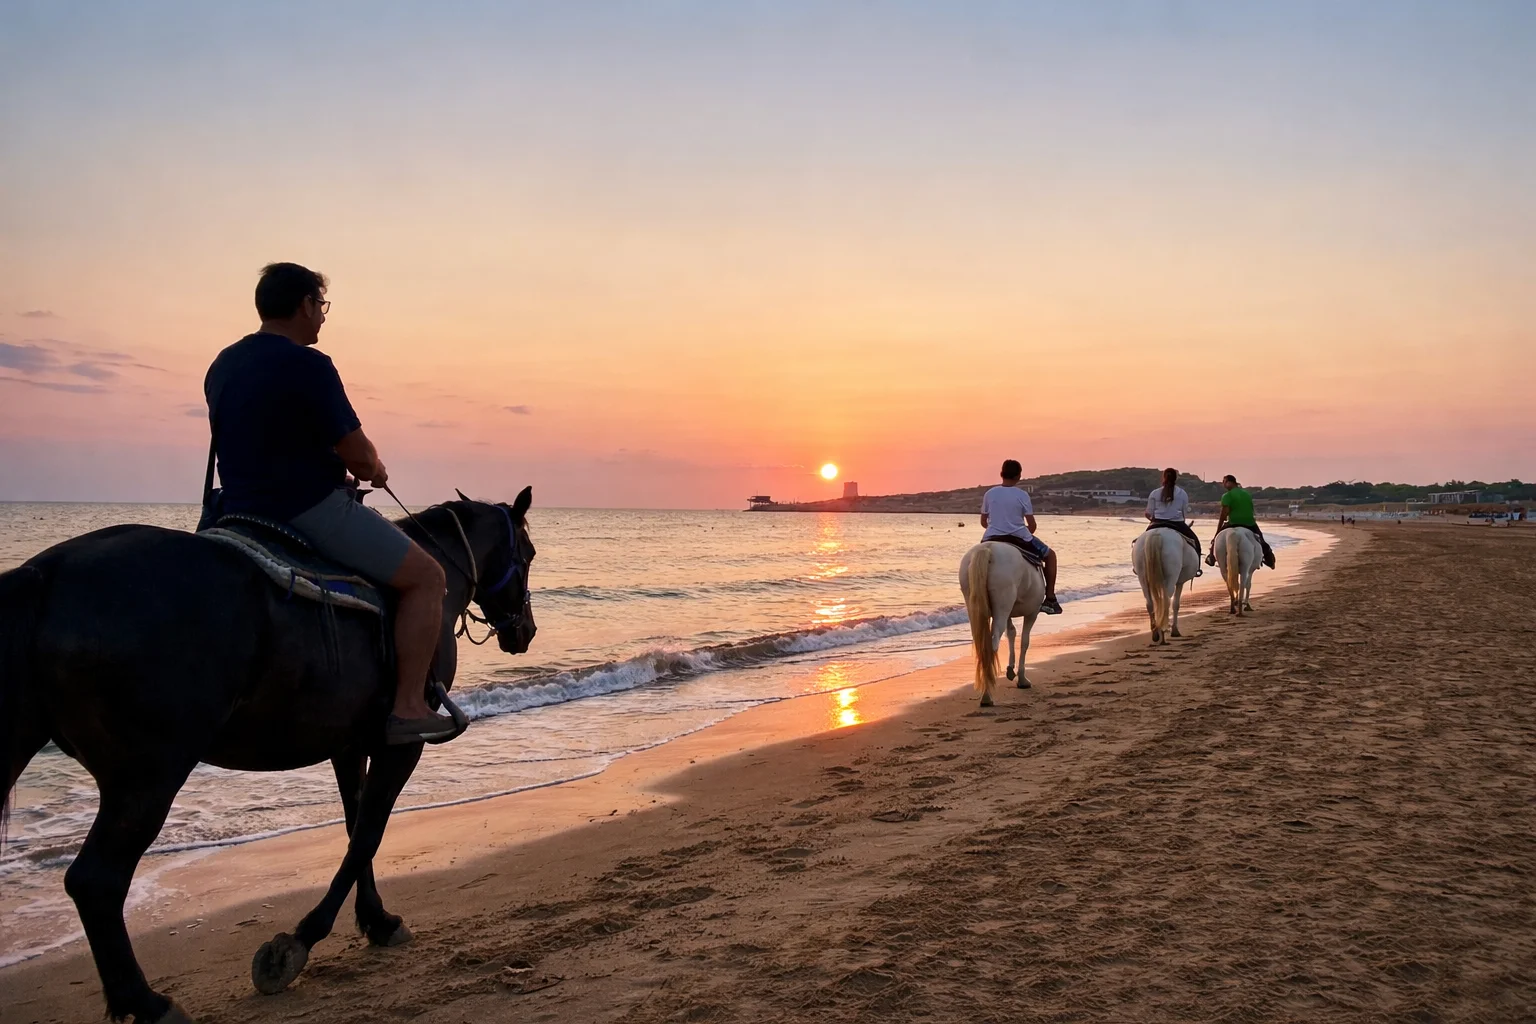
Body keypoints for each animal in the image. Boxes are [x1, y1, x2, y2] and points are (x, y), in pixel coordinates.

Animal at [0, 490, 536, 1024]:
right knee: (96, 882)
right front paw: (297, 943)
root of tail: (48, 572)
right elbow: (368, 834)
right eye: (528, 555)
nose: (525, 632)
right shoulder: (401, 745)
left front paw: (376, 920)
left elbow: (354, 829)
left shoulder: (348, 746)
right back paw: (149, 1002)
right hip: (148, 777)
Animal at [959, 541, 1046, 707]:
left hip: (976, 607)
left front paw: (1011, 670)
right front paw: (1022, 679)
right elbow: (1024, 641)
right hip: (1003, 605)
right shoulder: (1032, 613)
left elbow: (1011, 633)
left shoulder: (1009, 614)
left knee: (982, 646)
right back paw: (987, 695)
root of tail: (988, 548)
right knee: (992, 645)